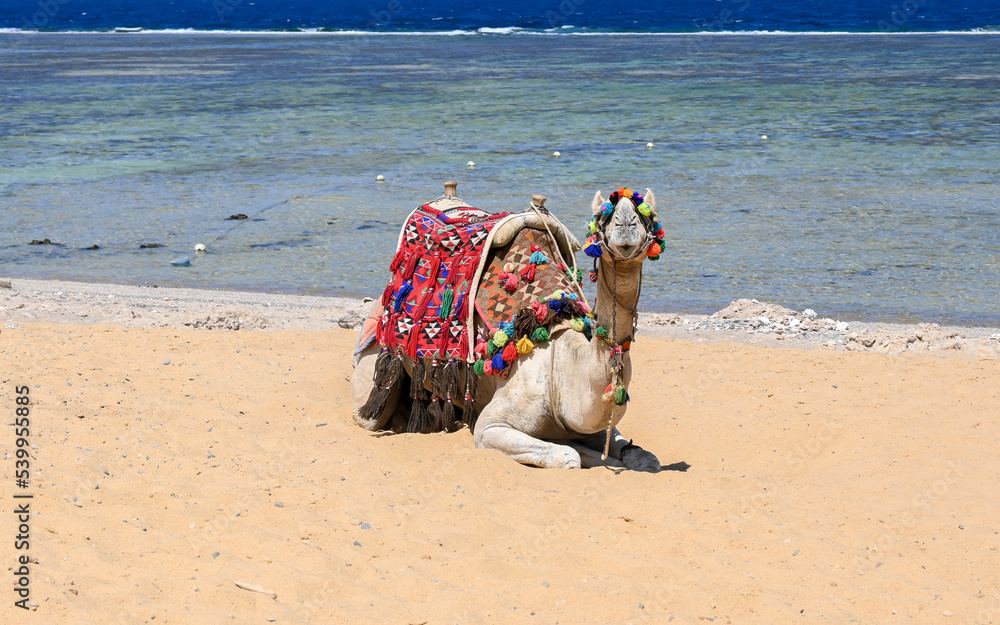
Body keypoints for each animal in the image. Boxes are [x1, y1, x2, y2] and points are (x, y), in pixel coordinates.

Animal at [351, 186, 662, 471]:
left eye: (647, 217)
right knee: (369, 414)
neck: (560, 367)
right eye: (603, 217)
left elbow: (646, 458)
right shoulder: (492, 425)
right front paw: (578, 451)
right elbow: (569, 455)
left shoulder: (596, 424)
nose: (625, 223)